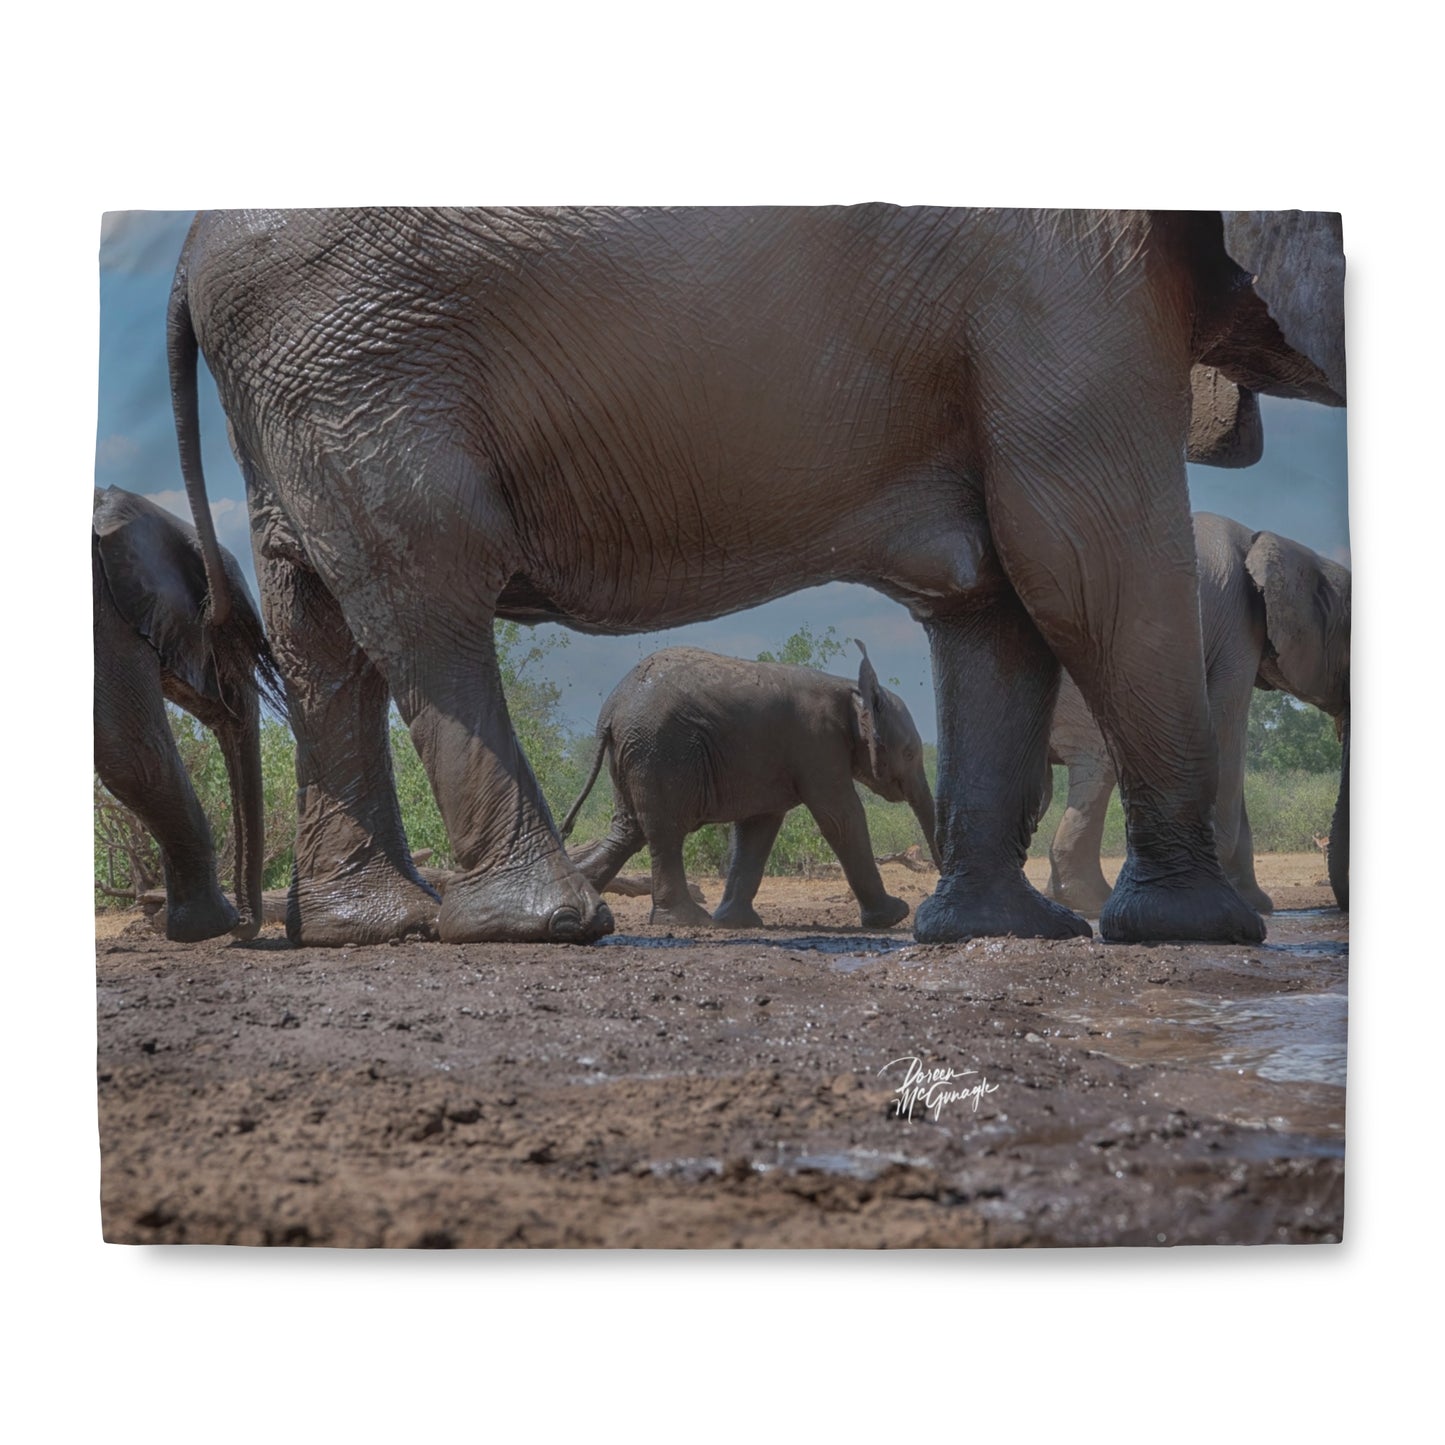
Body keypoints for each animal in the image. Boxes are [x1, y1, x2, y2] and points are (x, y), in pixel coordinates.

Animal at [559, 643, 940, 929]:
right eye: (909, 752)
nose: (930, 900)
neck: (851, 688)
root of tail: (612, 708)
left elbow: (758, 830)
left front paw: (738, 922)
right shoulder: (817, 745)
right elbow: (841, 818)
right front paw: (895, 916)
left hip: (633, 753)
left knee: (628, 831)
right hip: (659, 750)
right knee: (664, 831)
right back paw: (688, 921)